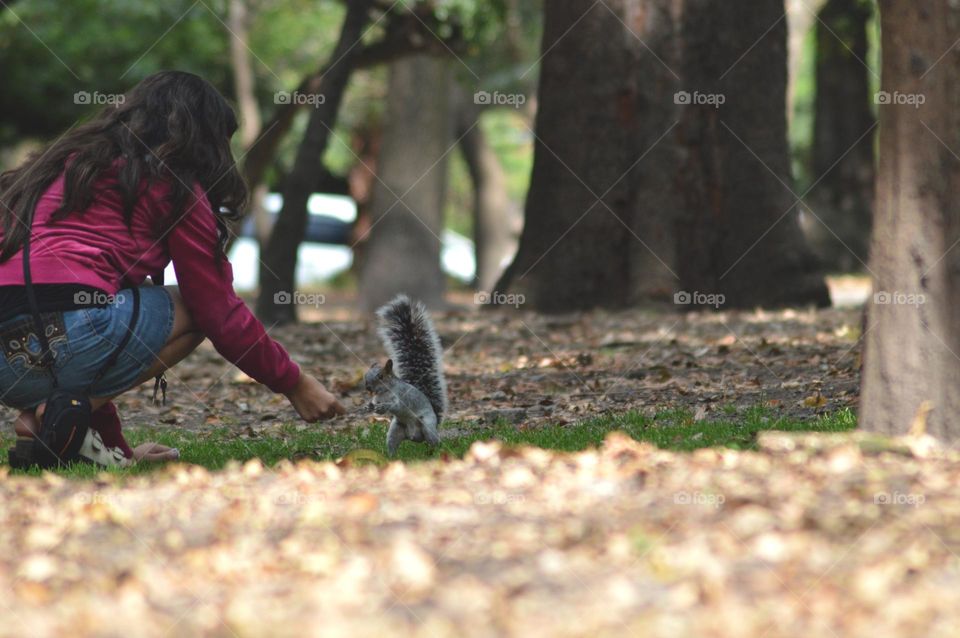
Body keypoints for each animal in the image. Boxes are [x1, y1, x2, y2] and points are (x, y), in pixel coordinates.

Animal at [362, 298, 448, 458]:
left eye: (381, 376)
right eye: (366, 375)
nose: (368, 388)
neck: (384, 392)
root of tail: (415, 437)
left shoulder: (402, 396)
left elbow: (397, 406)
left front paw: (385, 407)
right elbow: (374, 404)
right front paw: (367, 406)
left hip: (427, 425)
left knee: (434, 441)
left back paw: (435, 452)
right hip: (396, 429)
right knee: (392, 443)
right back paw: (390, 457)